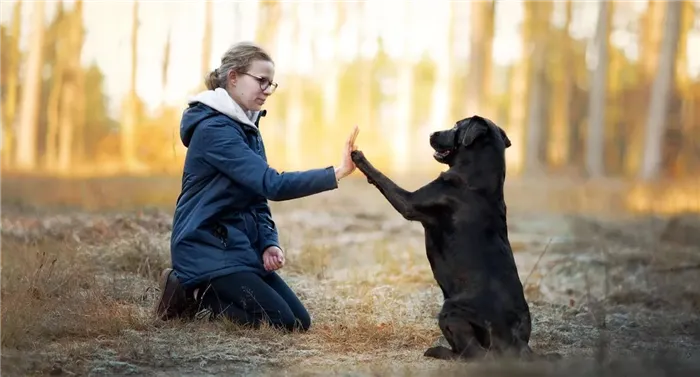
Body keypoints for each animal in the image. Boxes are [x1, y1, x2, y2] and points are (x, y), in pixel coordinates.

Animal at [352, 115, 540, 362]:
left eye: (456, 126)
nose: (432, 133)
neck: (477, 175)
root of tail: (516, 340)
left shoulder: (409, 202)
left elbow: (384, 179)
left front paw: (358, 157)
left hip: (450, 310)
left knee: (474, 354)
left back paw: (438, 351)